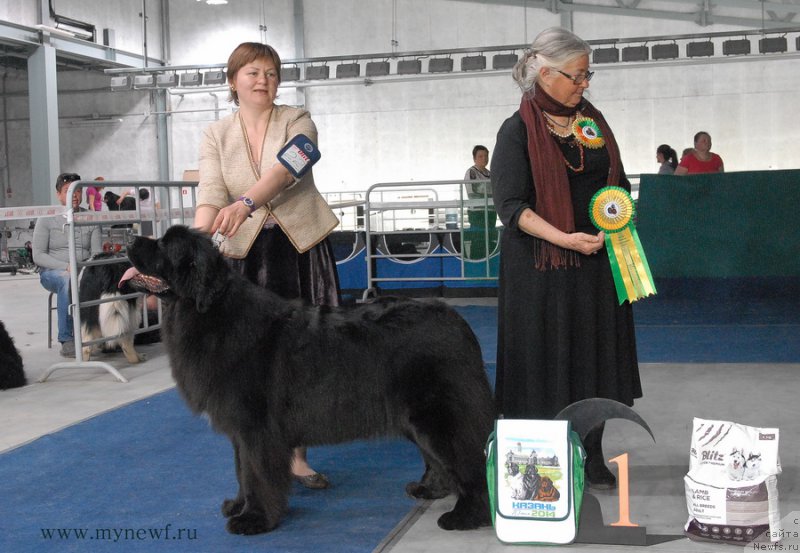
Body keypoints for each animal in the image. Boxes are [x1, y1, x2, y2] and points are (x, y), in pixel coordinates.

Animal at [126, 224, 494, 536]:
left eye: (163, 245)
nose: (129, 239)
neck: (208, 309)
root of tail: (457, 321)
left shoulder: (255, 428)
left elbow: (254, 473)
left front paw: (254, 520)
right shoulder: (239, 431)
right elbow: (241, 470)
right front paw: (239, 506)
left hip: (439, 415)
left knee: (469, 460)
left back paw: (467, 516)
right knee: (439, 458)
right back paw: (428, 489)